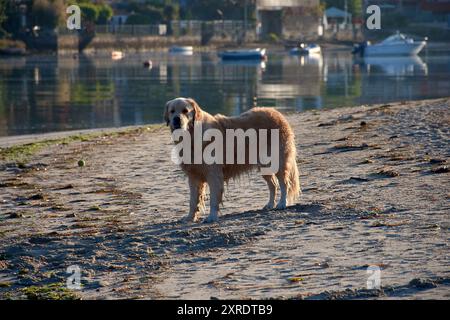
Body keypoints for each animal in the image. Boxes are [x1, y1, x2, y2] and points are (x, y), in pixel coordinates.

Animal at [163, 97, 300, 222]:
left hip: (278, 161)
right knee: (273, 185)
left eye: (185, 111)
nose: (176, 119)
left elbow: (214, 199)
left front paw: (212, 217)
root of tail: (277, 113)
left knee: (284, 183)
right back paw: (270, 204)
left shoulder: (214, 174)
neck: (192, 137)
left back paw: (282, 204)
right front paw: (190, 217)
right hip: (264, 166)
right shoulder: (193, 176)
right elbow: (193, 200)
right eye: (172, 111)